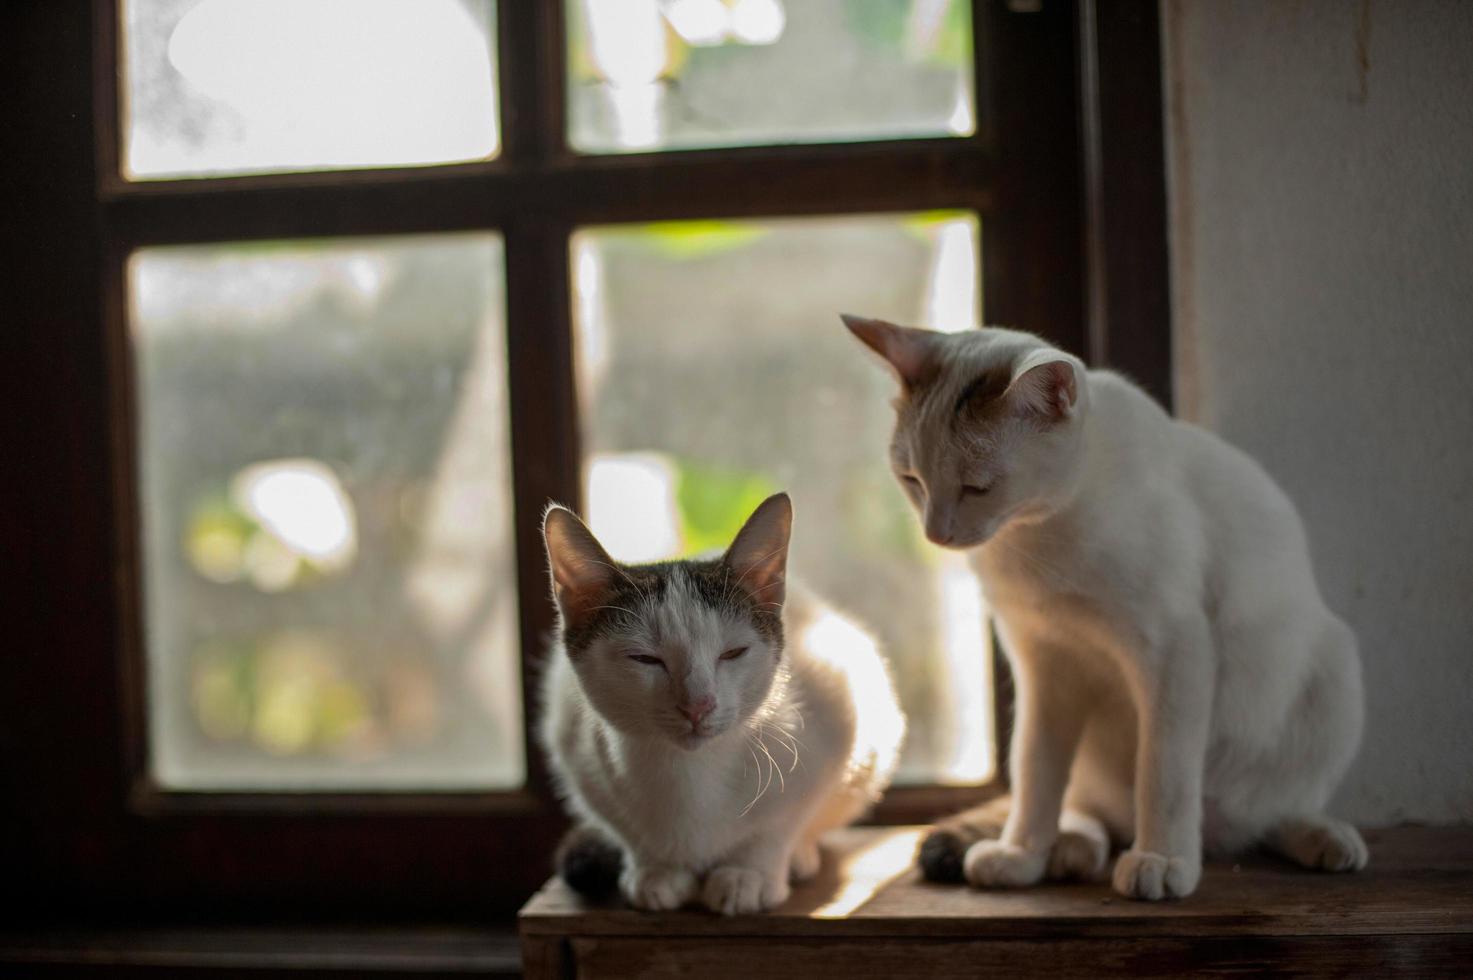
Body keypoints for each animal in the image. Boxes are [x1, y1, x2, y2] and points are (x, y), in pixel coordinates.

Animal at [542, 492, 907, 913]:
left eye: (733, 653)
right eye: (645, 658)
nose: (697, 704)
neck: (691, 772)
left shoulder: (834, 717)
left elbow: (782, 821)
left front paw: (749, 872)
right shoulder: (573, 744)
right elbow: (626, 828)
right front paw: (657, 868)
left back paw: (798, 856)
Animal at [842, 316, 1366, 896]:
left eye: (978, 488)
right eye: (912, 480)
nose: (936, 534)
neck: (1037, 538)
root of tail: (1219, 838)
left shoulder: (1173, 652)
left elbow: (1162, 774)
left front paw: (1161, 859)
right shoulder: (1045, 667)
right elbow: (1034, 771)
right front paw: (1021, 854)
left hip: (1336, 671)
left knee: (1270, 814)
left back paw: (1322, 838)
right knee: (1091, 812)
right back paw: (1068, 851)